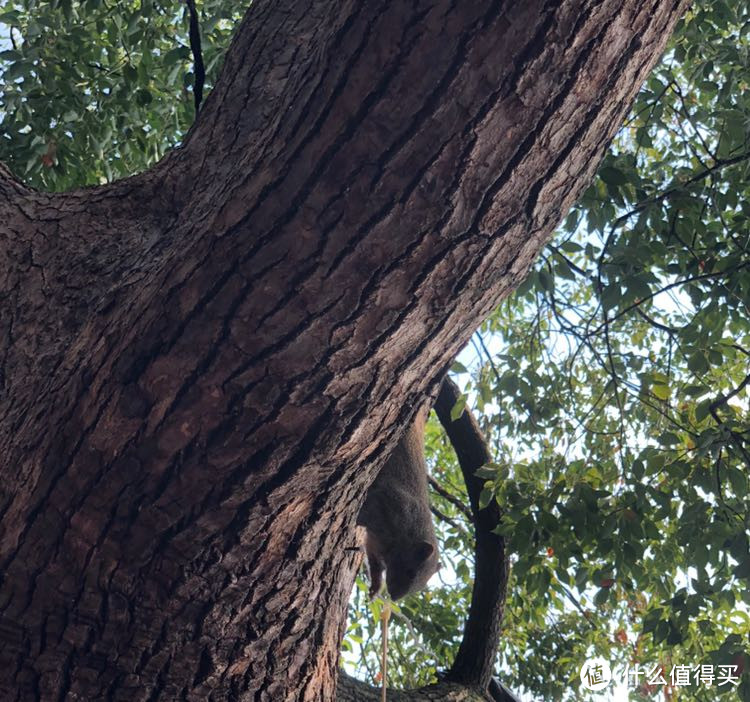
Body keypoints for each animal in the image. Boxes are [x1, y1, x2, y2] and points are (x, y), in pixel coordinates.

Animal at [358, 410, 440, 604]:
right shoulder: (386, 504)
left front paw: (375, 588)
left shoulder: (375, 543)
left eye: (420, 587)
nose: (395, 597)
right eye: (410, 572)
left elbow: (375, 565)